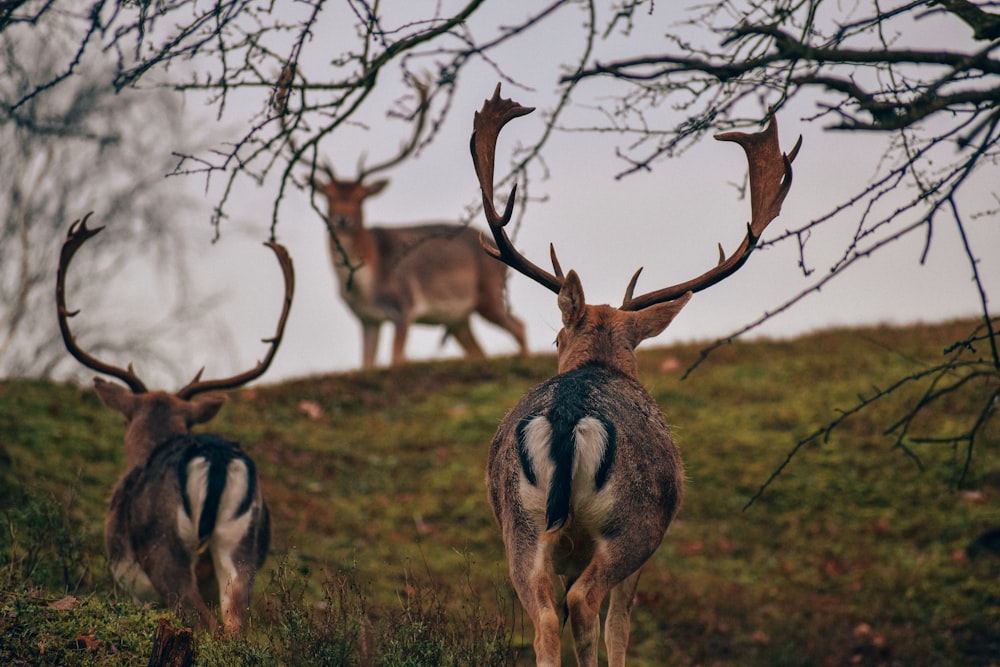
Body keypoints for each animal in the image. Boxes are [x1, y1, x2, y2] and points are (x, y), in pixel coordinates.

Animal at [56, 211, 294, 636]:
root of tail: (216, 457)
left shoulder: (134, 587)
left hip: (164, 546)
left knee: (200, 619)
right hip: (241, 545)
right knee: (235, 624)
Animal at [310, 80, 532, 370]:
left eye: (360, 197)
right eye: (328, 196)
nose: (342, 219)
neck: (366, 284)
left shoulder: (404, 307)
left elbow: (396, 360)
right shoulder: (366, 319)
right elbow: (366, 364)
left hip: (489, 297)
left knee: (520, 326)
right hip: (458, 320)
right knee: (479, 351)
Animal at [470, 85, 804, 667]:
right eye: (557, 340)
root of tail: (567, 419)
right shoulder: (648, 544)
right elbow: (620, 628)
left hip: (520, 525)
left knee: (544, 618)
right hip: (632, 524)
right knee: (586, 604)